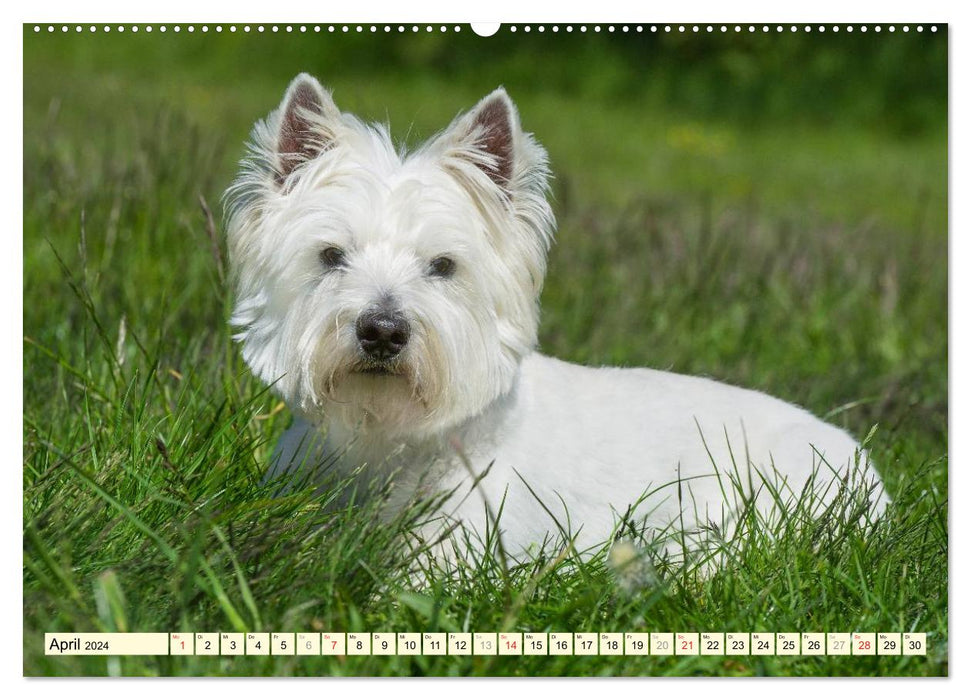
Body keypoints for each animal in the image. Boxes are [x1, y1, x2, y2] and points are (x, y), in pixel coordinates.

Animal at [226, 75, 888, 568]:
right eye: (331, 255)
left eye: (443, 265)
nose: (383, 332)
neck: (384, 435)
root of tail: (873, 477)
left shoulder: (456, 552)